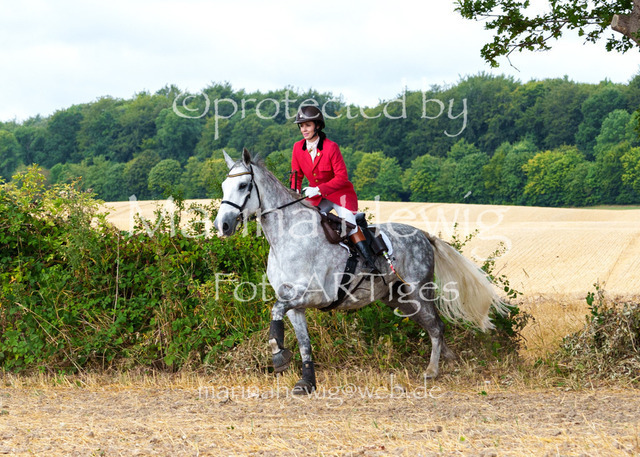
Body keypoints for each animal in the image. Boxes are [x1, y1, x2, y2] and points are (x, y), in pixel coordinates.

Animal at [214, 148, 508, 395]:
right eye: (224, 186)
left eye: (243, 185)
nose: (222, 226)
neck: (288, 237)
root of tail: (423, 235)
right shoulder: (295, 305)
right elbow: (303, 342)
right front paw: (306, 382)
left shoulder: (315, 295)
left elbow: (275, 309)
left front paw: (278, 356)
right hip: (398, 299)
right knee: (433, 325)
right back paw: (448, 359)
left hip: (418, 292)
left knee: (436, 326)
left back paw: (432, 371)